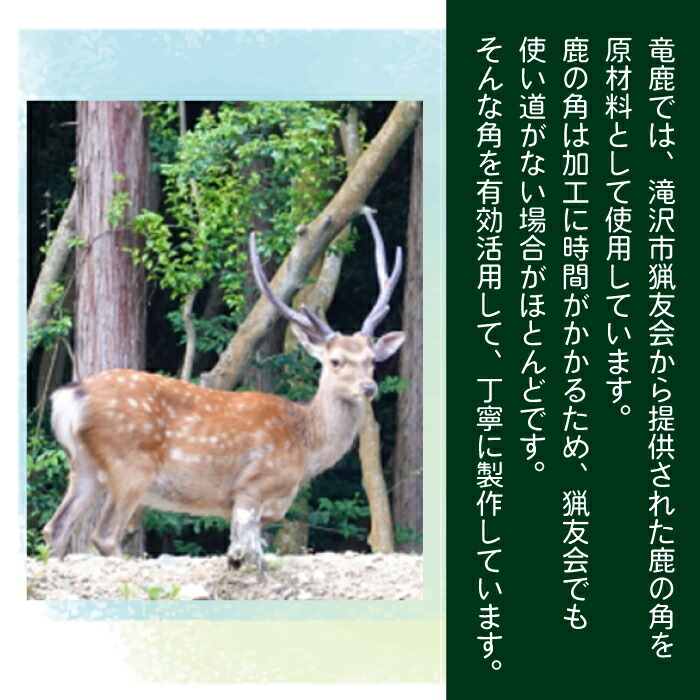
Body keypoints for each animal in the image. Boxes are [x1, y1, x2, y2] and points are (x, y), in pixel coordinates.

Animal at [42, 206, 406, 570]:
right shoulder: (251, 487)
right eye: (335, 361)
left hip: (85, 467)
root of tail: (69, 396)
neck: (306, 448)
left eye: (372, 360)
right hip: (130, 463)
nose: (368, 387)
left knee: (55, 527)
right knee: (103, 534)